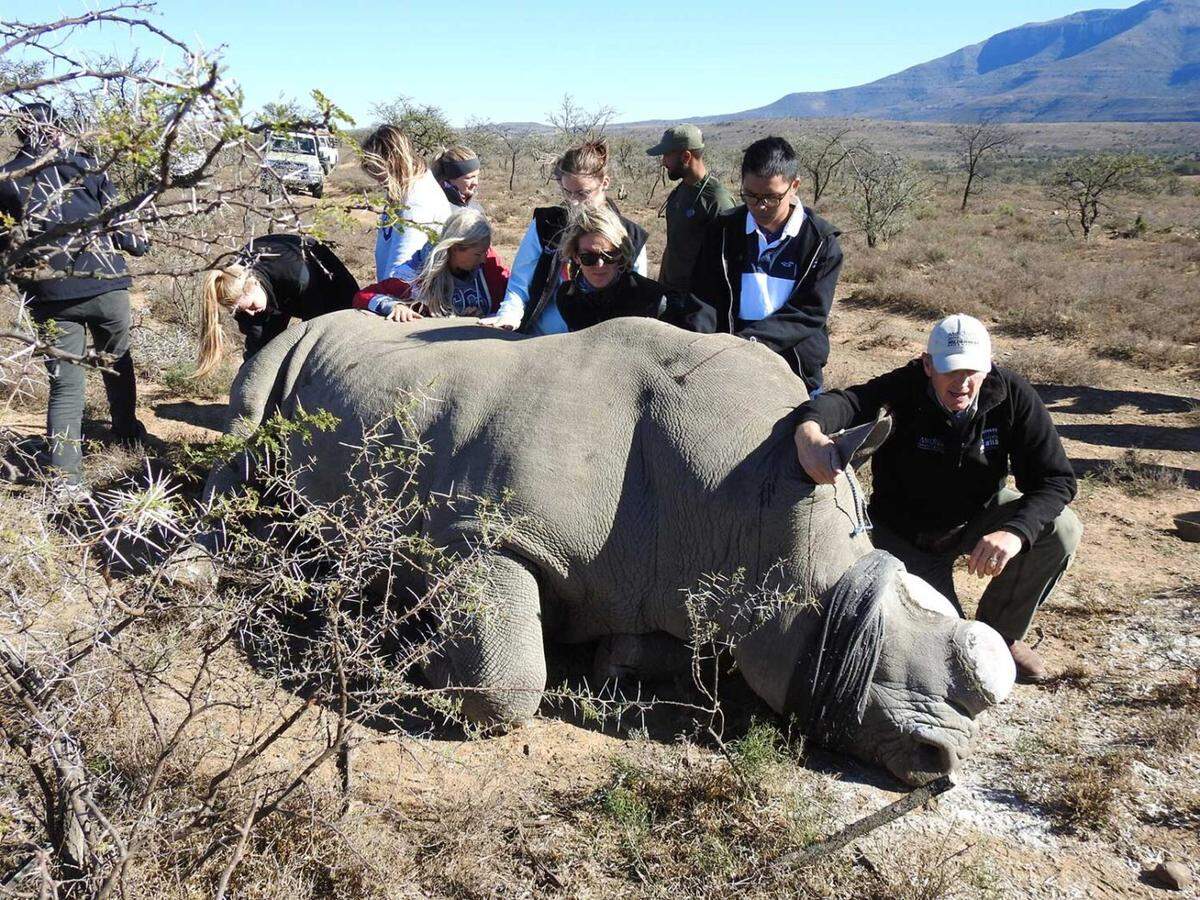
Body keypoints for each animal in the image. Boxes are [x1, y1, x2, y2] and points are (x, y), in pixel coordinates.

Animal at [204, 312, 1016, 786]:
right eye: (854, 630)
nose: (944, 762)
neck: (749, 500)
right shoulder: (484, 535)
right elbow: (510, 687)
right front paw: (421, 654)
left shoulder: (671, 579)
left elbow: (642, 648)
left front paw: (611, 660)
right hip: (284, 344)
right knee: (244, 426)